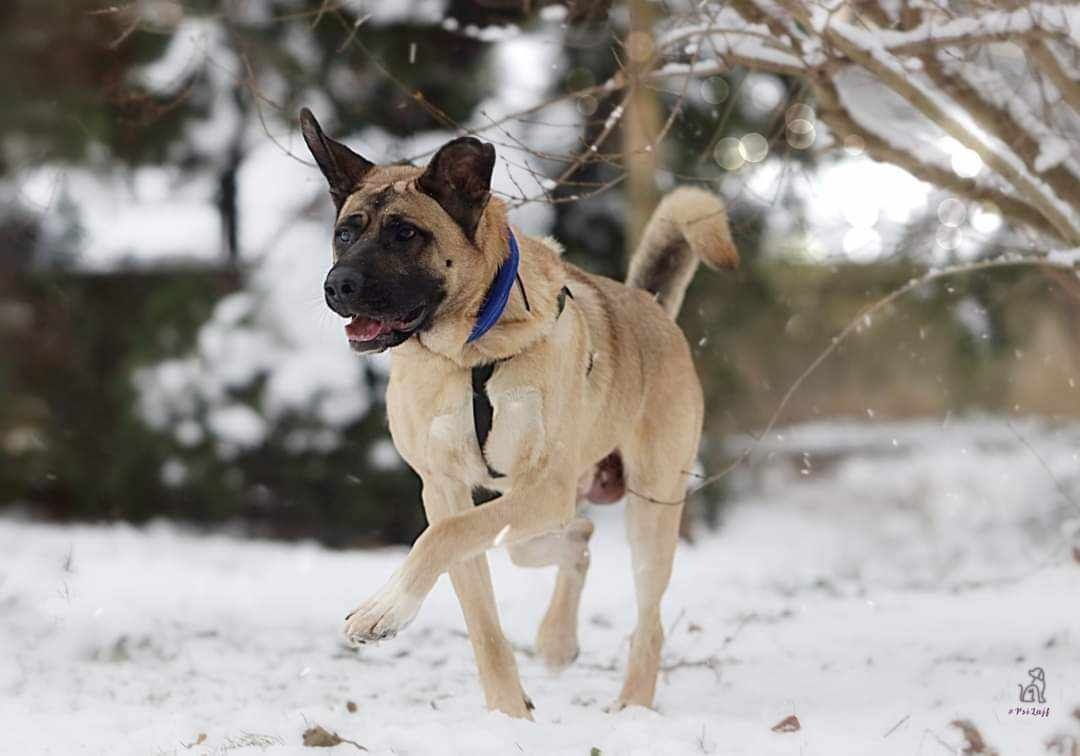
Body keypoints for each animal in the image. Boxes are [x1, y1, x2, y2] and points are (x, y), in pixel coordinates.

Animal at [300, 109, 738, 717]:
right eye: (346, 231)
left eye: (406, 234)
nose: (337, 286)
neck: (472, 353)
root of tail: (649, 306)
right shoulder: (445, 488)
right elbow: (476, 602)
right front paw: (509, 713)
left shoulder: (540, 487)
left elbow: (444, 537)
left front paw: (381, 611)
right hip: (555, 507)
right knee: (570, 538)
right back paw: (557, 639)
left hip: (650, 506)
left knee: (647, 621)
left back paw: (632, 706)